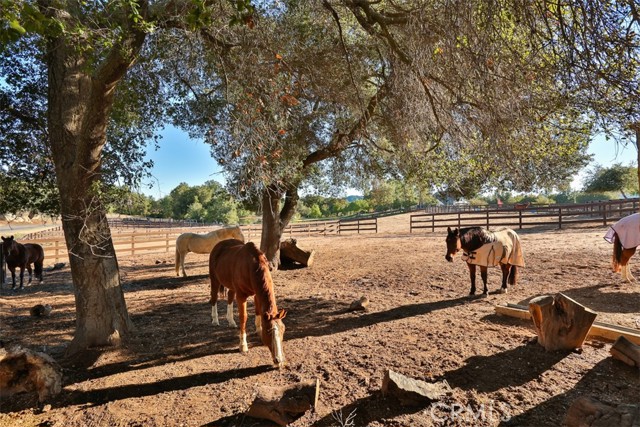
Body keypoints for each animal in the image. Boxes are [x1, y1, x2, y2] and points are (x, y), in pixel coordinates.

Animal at [209, 239, 286, 370]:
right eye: (269, 332)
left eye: (283, 330)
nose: (278, 360)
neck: (252, 266)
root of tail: (219, 245)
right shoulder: (241, 296)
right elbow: (243, 317)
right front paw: (243, 345)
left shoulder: (256, 293)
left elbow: (258, 311)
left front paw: (258, 331)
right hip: (214, 280)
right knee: (214, 298)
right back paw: (215, 320)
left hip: (231, 286)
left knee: (230, 297)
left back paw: (231, 321)